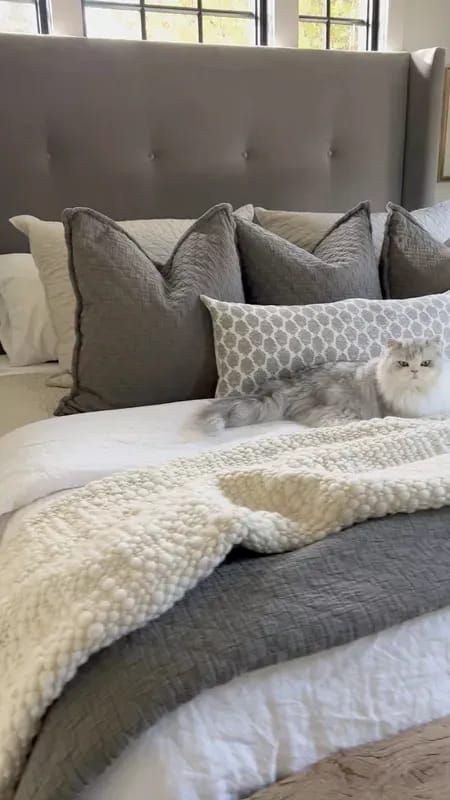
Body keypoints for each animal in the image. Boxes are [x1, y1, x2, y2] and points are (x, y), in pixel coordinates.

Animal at [201, 338, 450, 432]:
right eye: (403, 363)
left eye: (425, 363)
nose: (415, 371)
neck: (418, 392)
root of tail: (290, 381)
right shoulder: (402, 412)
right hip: (341, 411)